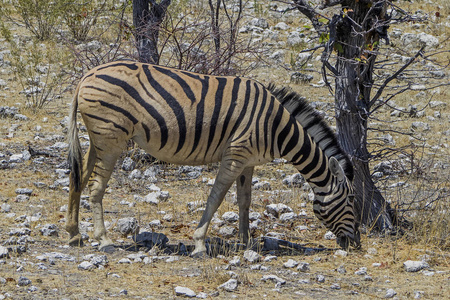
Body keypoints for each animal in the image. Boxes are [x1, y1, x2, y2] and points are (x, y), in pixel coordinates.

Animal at [67, 60, 360, 255]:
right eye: (351, 201)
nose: (356, 243)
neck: (277, 128)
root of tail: (86, 76)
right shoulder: (236, 154)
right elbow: (216, 197)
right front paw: (199, 243)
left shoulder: (248, 162)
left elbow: (245, 201)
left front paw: (245, 241)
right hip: (111, 139)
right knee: (95, 186)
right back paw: (104, 241)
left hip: (98, 139)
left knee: (77, 178)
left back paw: (74, 234)